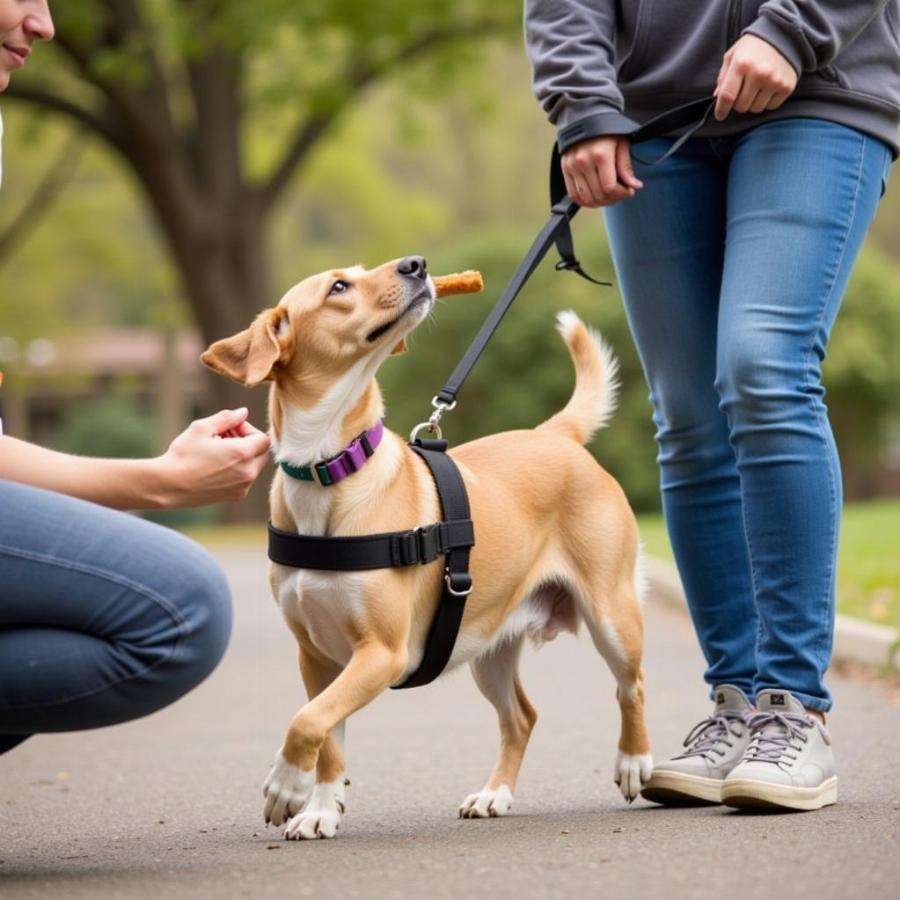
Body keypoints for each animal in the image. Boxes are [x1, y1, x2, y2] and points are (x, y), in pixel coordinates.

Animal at [203, 256, 652, 840]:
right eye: (339, 286)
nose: (415, 264)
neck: (329, 468)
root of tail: (553, 435)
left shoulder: (383, 652)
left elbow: (307, 721)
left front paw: (286, 785)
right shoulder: (318, 658)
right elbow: (327, 736)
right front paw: (320, 808)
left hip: (611, 616)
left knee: (631, 687)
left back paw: (634, 761)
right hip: (487, 645)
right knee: (521, 717)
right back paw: (494, 795)